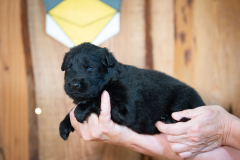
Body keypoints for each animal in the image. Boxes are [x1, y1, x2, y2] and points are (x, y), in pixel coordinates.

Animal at [59, 42, 204, 140]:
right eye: (69, 68)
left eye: (90, 68)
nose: (74, 84)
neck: (110, 80)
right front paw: (64, 125)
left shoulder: (124, 108)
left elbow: (96, 99)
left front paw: (80, 110)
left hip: (184, 98)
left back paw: (168, 119)